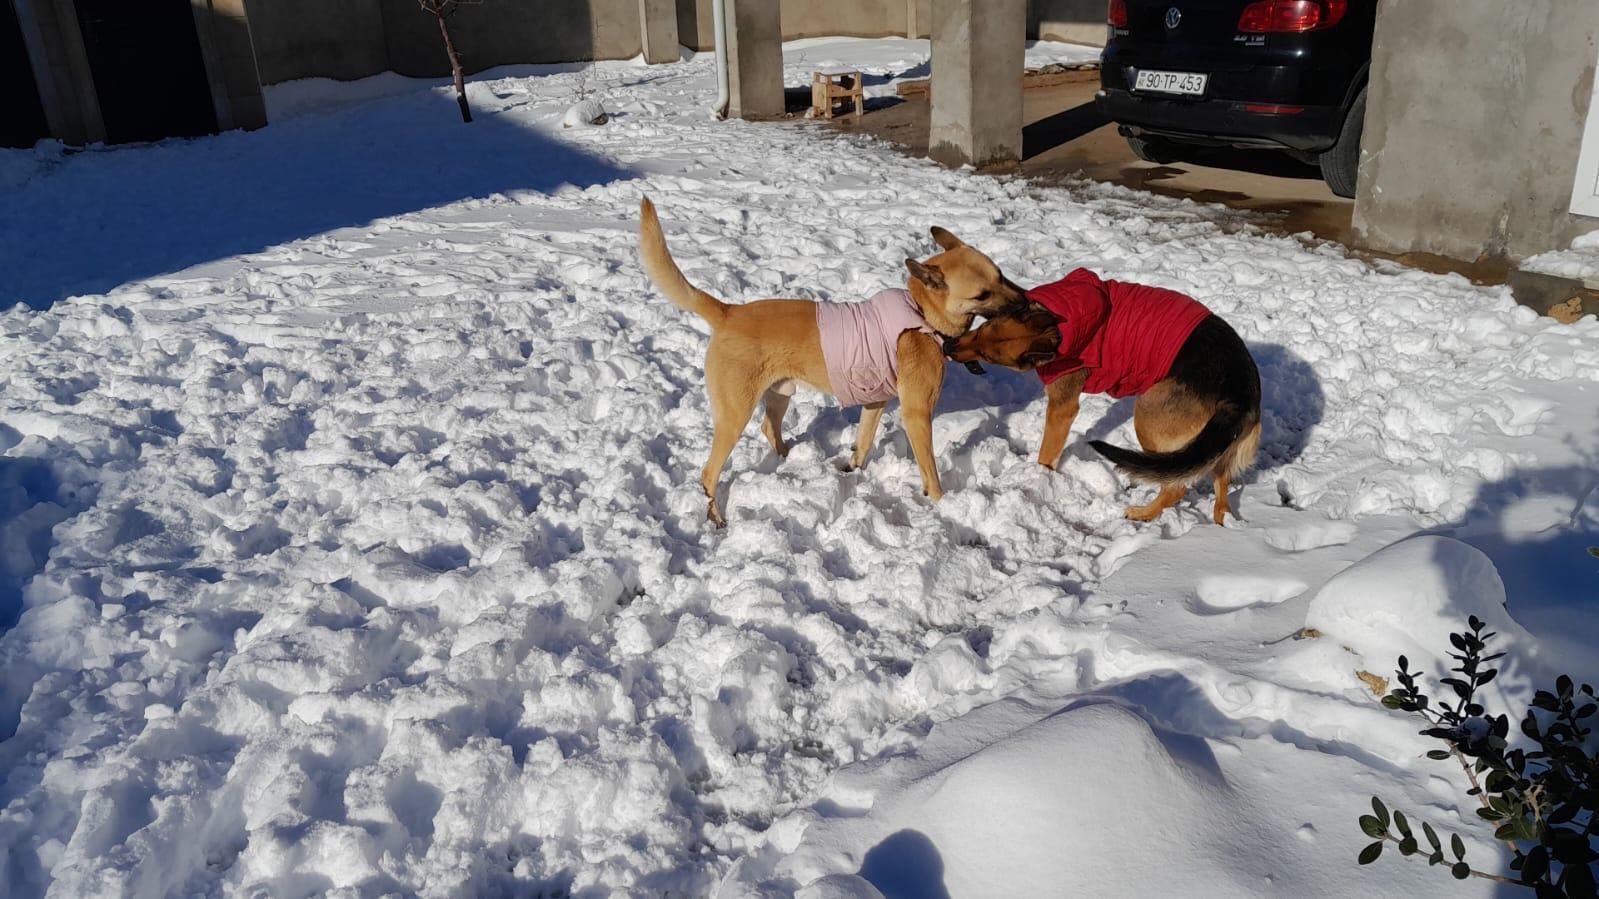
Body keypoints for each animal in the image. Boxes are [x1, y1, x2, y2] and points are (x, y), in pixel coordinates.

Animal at [637, 198, 1025, 526]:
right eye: (982, 295)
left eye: (1001, 275)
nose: (1024, 302)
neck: (921, 313)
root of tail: (727, 312)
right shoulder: (917, 413)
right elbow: (929, 468)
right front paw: (943, 503)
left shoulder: (875, 401)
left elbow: (864, 441)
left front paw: (852, 470)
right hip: (734, 415)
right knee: (708, 472)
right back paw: (715, 515)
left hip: (780, 393)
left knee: (768, 427)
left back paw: (787, 458)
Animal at [943, 268, 1261, 525]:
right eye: (981, 329)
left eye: (988, 355)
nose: (947, 347)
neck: (1057, 329)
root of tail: (1238, 393)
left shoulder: (1062, 408)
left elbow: (1047, 453)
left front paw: (1039, 479)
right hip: (1217, 446)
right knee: (1220, 487)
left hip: (1147, 414)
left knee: (1176, 486)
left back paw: (1144, 513)